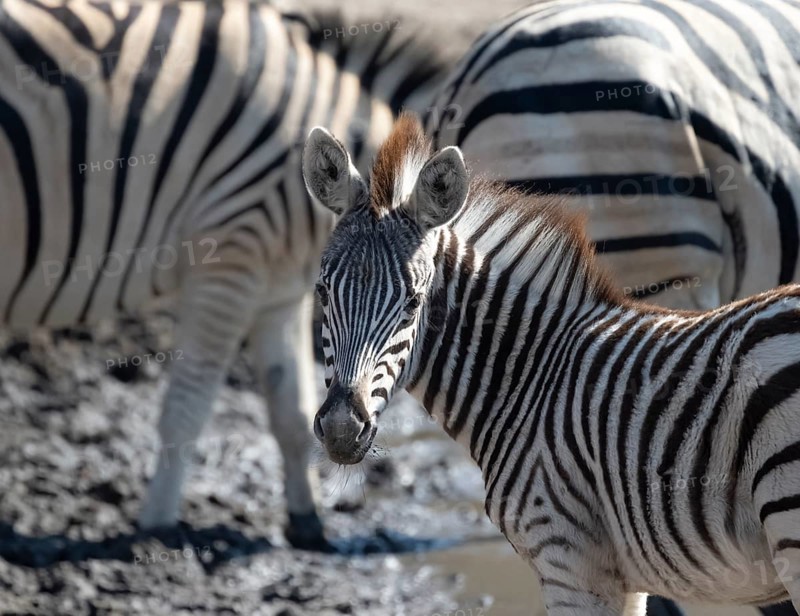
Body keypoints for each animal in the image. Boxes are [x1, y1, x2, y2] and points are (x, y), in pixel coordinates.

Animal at [0, 0, 450, 548]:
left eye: (414, 301)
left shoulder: (280, 291)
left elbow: (291, 410)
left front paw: (307, 523)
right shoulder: (229, 264)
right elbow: (187, 408)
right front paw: (156, 527)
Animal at [302, 112, 800, 613]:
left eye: (413, 303)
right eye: (322, 292)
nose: (342, 430)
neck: (531, 378)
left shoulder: (568, 559)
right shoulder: (622, 578)